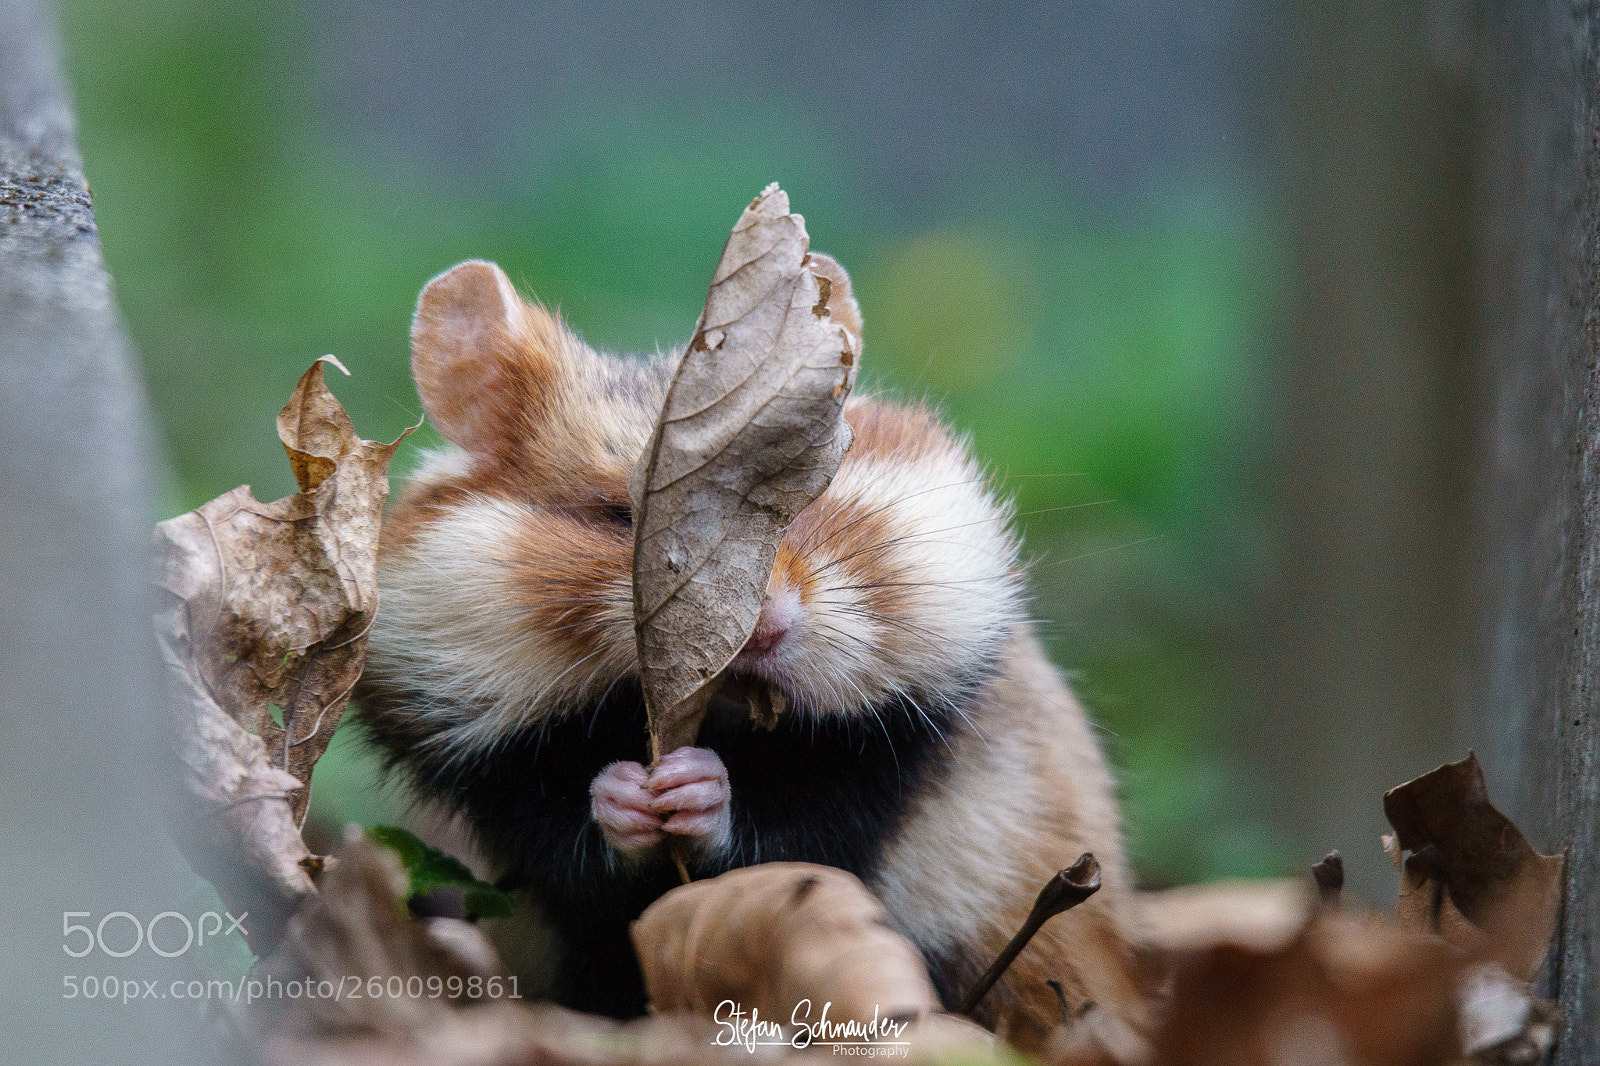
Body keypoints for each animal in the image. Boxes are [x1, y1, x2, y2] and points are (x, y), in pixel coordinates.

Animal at [354, 257, 1147, 1050]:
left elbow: (791, 827)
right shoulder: (496, 771)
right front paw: (633, 792)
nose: (760, 631)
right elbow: (569, 829)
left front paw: (694, 786)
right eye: (617, 516)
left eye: (803, 496)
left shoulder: (882, 759)